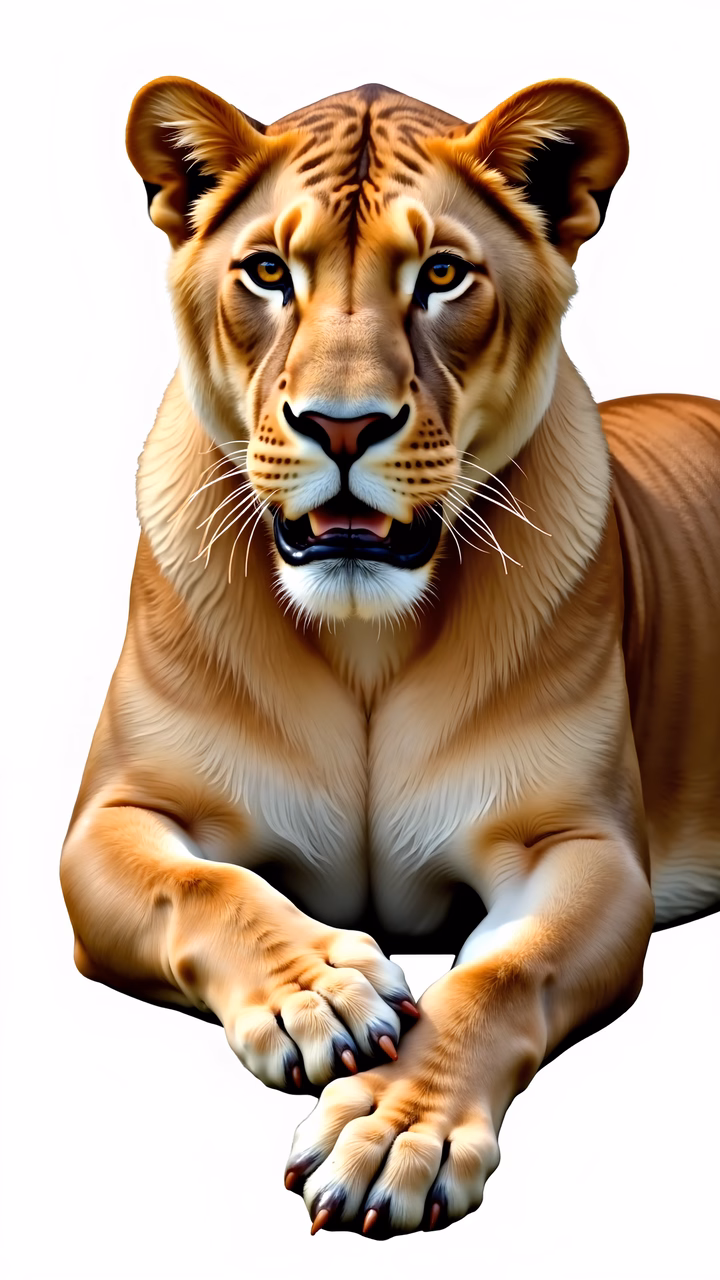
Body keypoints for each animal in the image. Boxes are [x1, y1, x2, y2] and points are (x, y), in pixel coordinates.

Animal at [59, 75, 720, 1239]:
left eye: (443, 275)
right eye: (268, 271)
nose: (341, 425)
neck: (365, 639)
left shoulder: (580, 843)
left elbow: (501, 976)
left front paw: (392, 1129)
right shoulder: (113, 816)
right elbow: (206, 887)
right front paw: (323, 990)